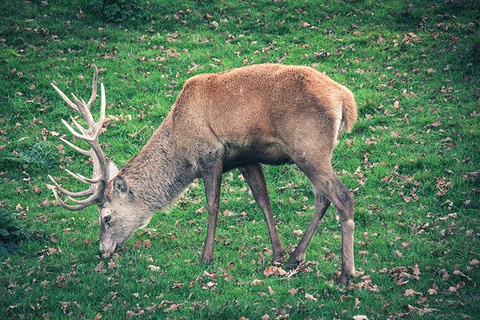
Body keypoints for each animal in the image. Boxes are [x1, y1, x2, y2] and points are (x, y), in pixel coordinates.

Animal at [47, 63, 356, 284]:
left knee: (343, 197)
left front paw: (206, 257)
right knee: (323, 198)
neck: (179, 145)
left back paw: (345, 275)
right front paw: (277, 253)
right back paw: (296, 257)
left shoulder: (210, 155)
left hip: (309, 148)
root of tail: (345, 100)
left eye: (106, 217)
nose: (103, 250)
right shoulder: (246, 158)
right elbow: (263, 200)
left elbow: (212, 205)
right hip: (313, 154)